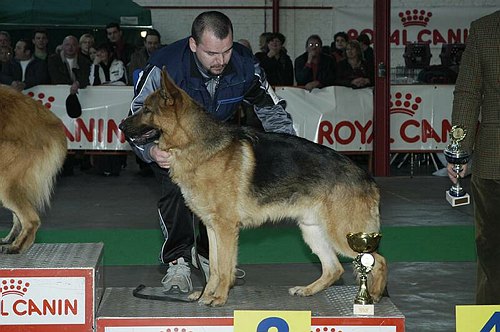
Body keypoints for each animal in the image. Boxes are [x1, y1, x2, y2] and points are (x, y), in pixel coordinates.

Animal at [119, 69, 388, 306]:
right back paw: (307, 290)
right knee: (334, 268)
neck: (194, 144)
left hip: (344, 234)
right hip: (312, 230)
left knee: (377, 261)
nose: (121, 126)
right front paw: (206, 294)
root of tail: (367, 177)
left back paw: (372, 297)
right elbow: (214, 267)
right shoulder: (212, 228)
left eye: (147, 110)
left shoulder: (226, 228)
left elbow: (224, 267)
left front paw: (218, 298)